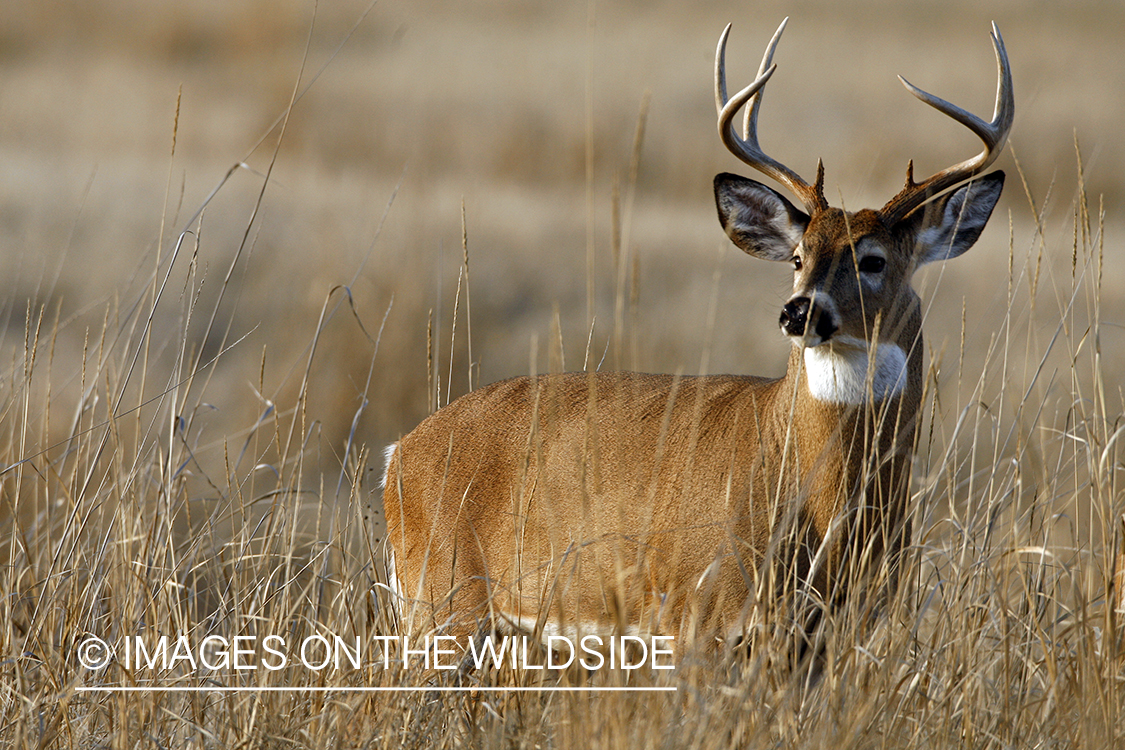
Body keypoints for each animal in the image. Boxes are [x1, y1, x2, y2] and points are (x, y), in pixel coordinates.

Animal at [382, 17, 1017, 652]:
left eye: (875, 261)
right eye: (797, 257)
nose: (798, 313)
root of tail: (397, 454)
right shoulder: (700, 612)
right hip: (441, 598)